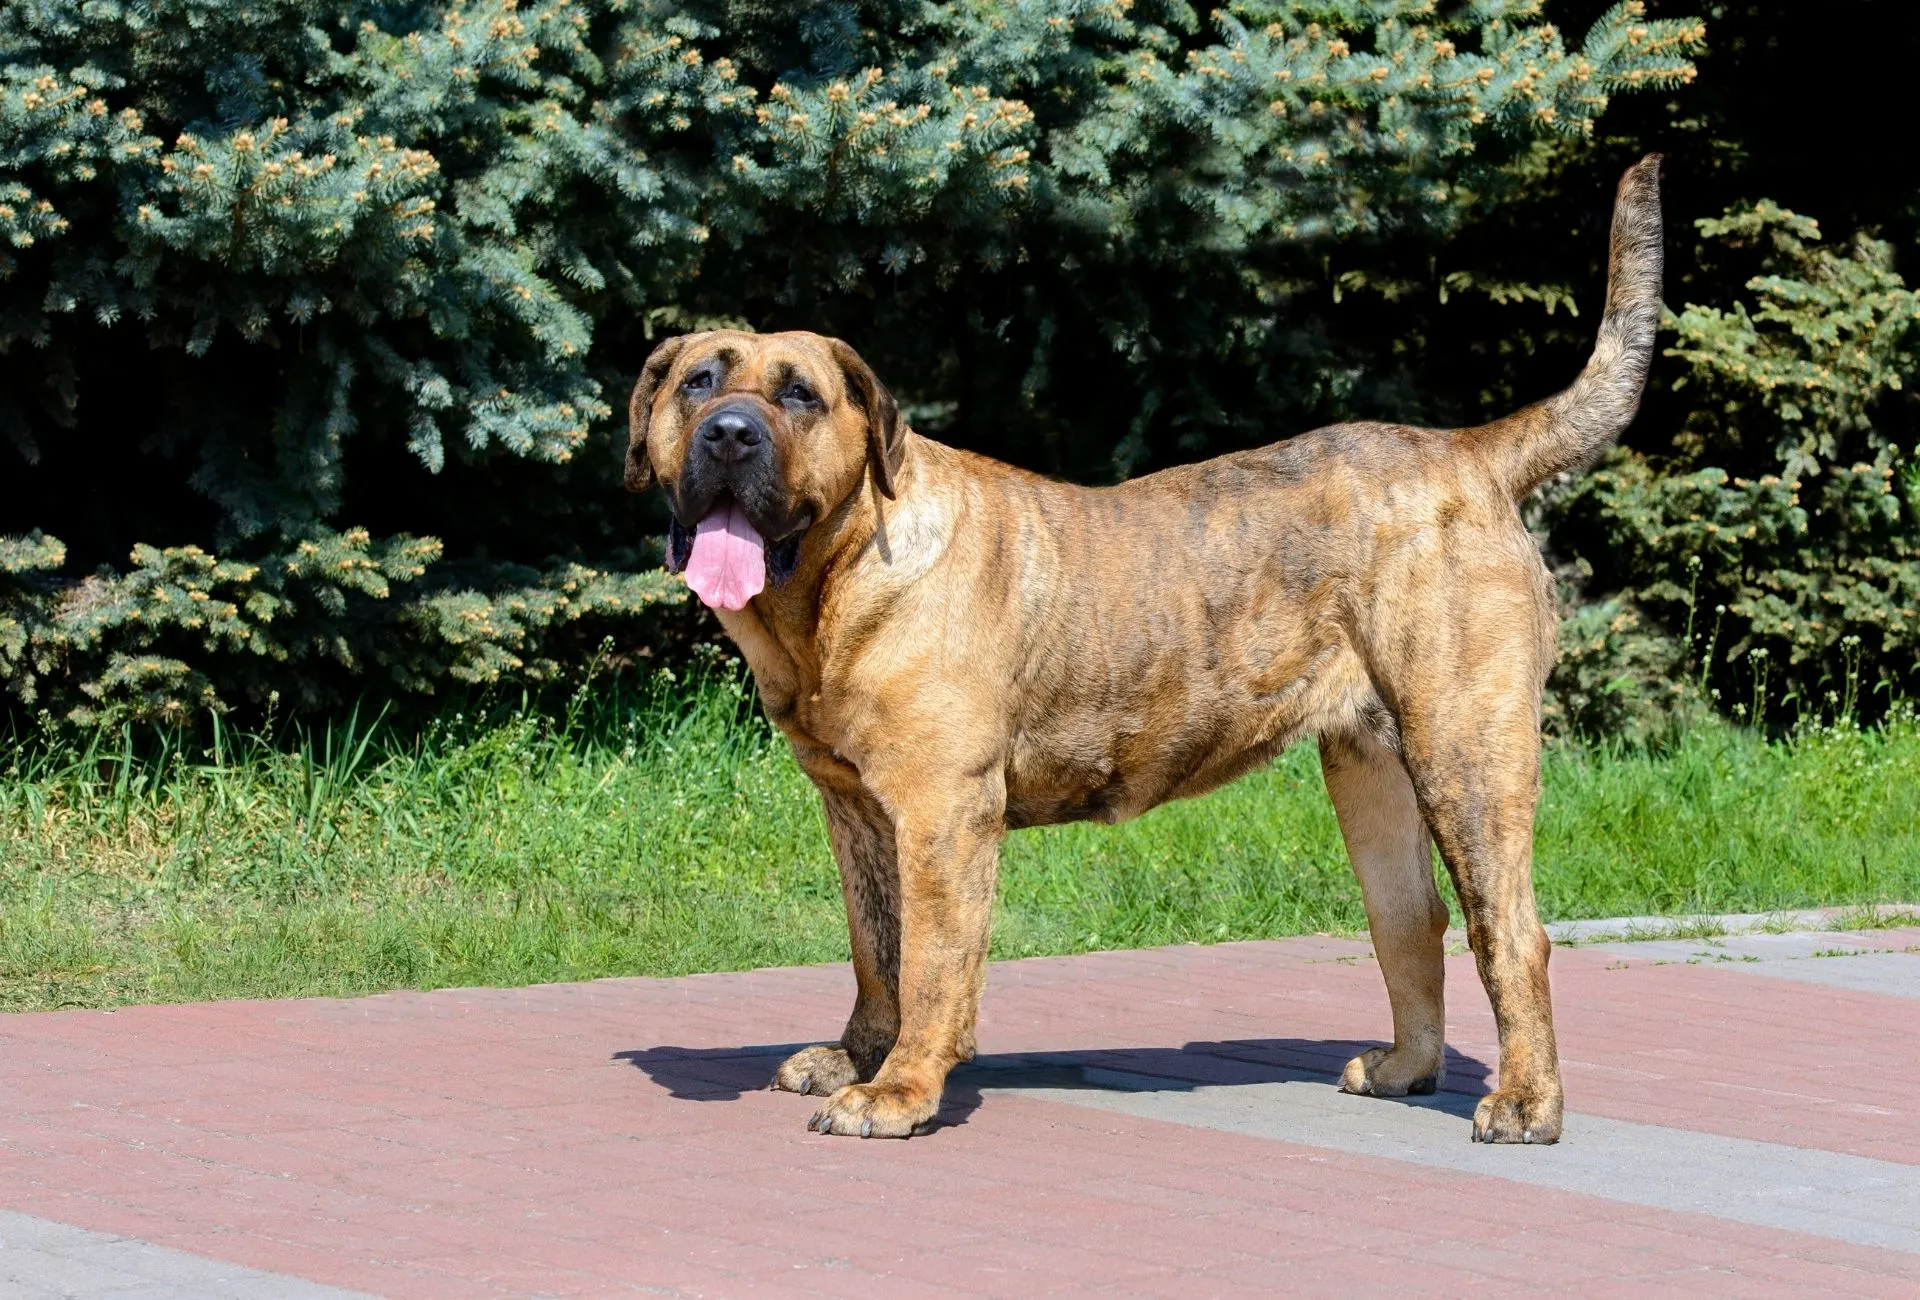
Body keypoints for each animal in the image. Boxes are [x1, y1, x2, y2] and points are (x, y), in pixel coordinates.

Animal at [622, 157, 1658, 1144]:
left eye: (799, 394)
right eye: (697, 381)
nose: (729, 433)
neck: (830, 588)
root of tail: (1469, 452)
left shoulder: (942, 813)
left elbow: (930, 965)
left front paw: (898, 1091)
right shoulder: (856, 808)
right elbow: (876, 951)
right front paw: (854, 1056)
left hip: (1465, 751)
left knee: (1508, 932)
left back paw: (1525, 1104)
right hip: (1370, 770)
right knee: (1411, 920)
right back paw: (1406, 1068)